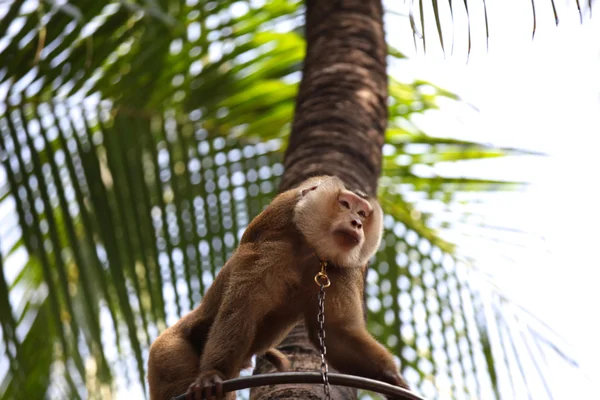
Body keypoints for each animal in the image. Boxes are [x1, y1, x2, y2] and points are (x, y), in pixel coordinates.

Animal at [146, 176, 408, 400]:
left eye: (362, 213)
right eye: (345, 204)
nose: (357, 223)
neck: (308, 248)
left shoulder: (339, 269)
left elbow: (336, 333)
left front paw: (391, 379)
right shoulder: (269, 251)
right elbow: (242, 309)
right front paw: (213, 373)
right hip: (166, 352)